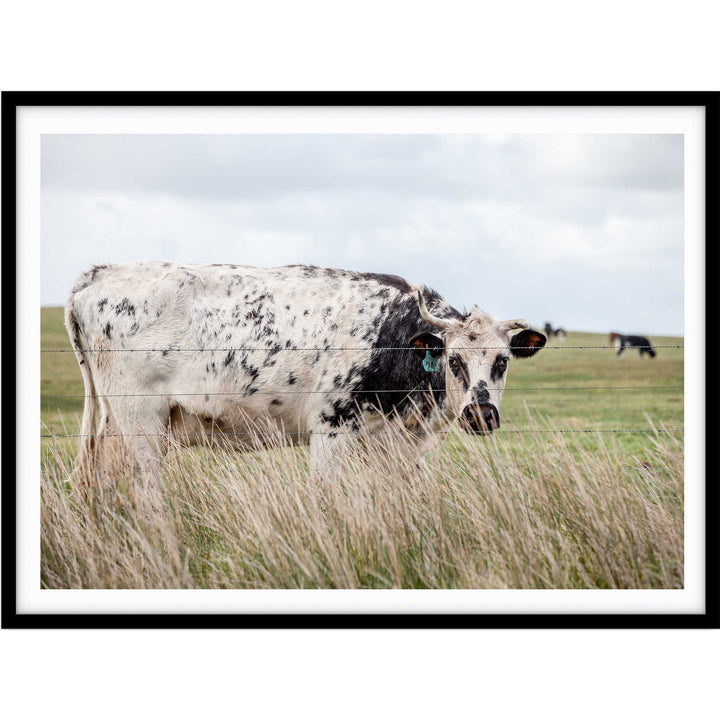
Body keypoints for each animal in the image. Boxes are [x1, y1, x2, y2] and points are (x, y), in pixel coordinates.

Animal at [65, 262, 546, 487]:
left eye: (502, 361)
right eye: (453, 360)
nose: (480, 414)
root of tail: (103, 272)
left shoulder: (397, 447)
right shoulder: (331, 427)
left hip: (112, 425)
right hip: (141, 423)